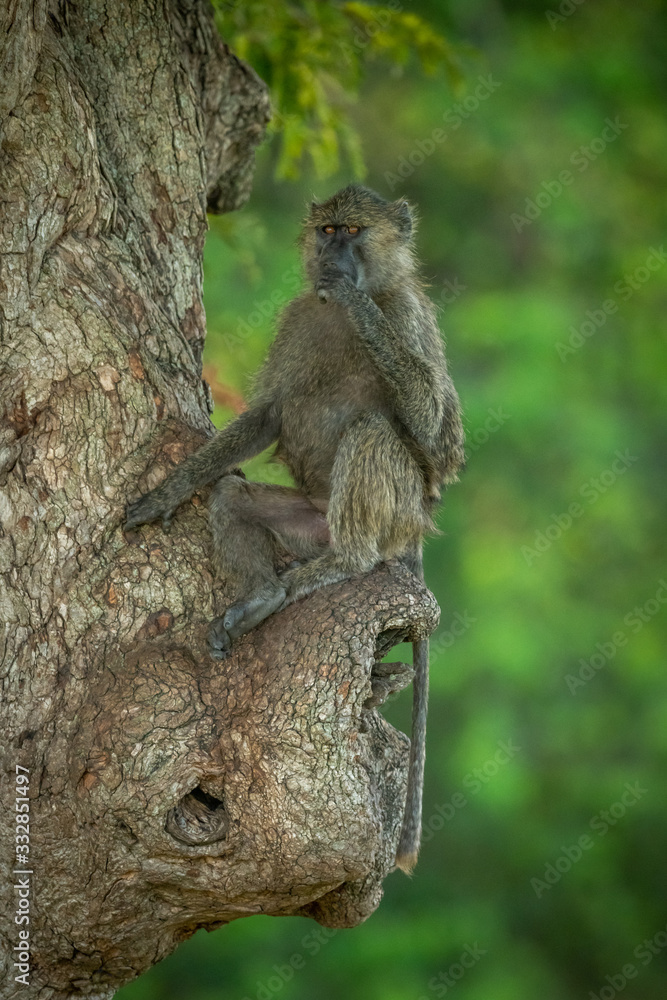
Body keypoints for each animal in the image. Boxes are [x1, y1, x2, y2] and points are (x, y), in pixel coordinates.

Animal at [125, 184, 465, 873]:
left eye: (354, 231)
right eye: (328, 229)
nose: (333, 256)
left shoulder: (410, 316)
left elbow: (438, 435)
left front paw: (359, 301)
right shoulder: (297, 317)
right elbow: (268, 414)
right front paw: (166, 493)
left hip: (395, 511)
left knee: (375, 434)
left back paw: (345, 564)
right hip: (308, 522)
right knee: (233, 498)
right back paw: (259, 598)